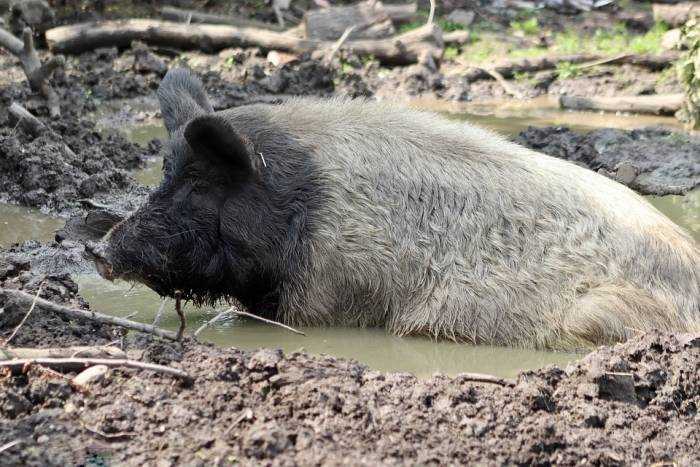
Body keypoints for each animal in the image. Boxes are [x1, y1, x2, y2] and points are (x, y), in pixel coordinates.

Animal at [90, 67, 696, 350]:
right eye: (164, 176)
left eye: (198, 186)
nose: (101, 251)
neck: (299, 200)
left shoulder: (327, 292)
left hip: (602, 316)